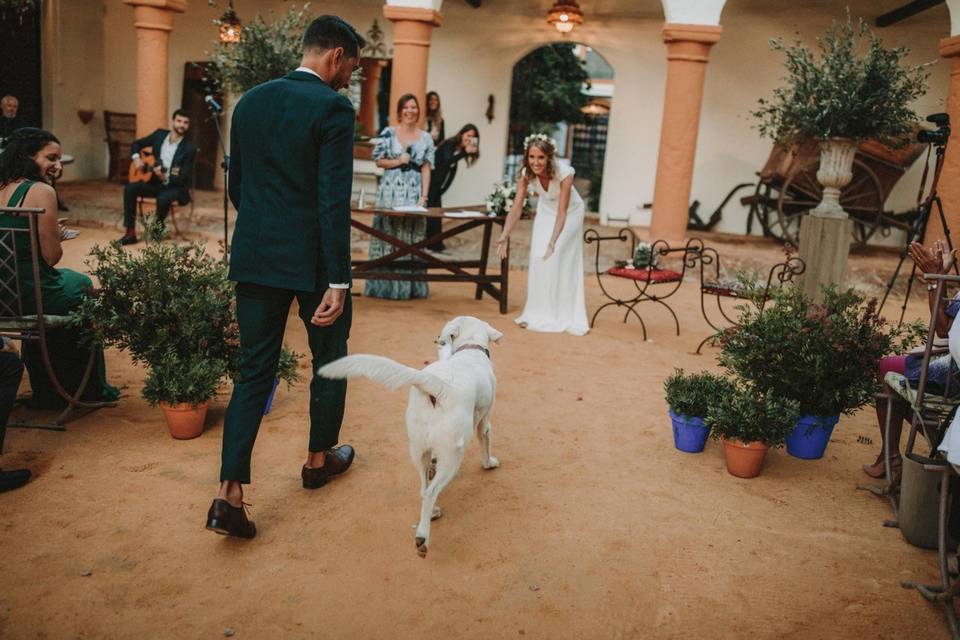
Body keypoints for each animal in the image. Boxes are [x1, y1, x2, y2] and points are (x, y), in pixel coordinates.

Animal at [320, 318, 502, 556]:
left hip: (418, 450)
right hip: (452, 457)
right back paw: (422, 537)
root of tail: (437, 385)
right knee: (431, 492)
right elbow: (486, 444)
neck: (470, 348)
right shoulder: (484, 421)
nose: (438, 339)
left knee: (424, 489)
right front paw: (490, 464)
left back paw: (431, 513)